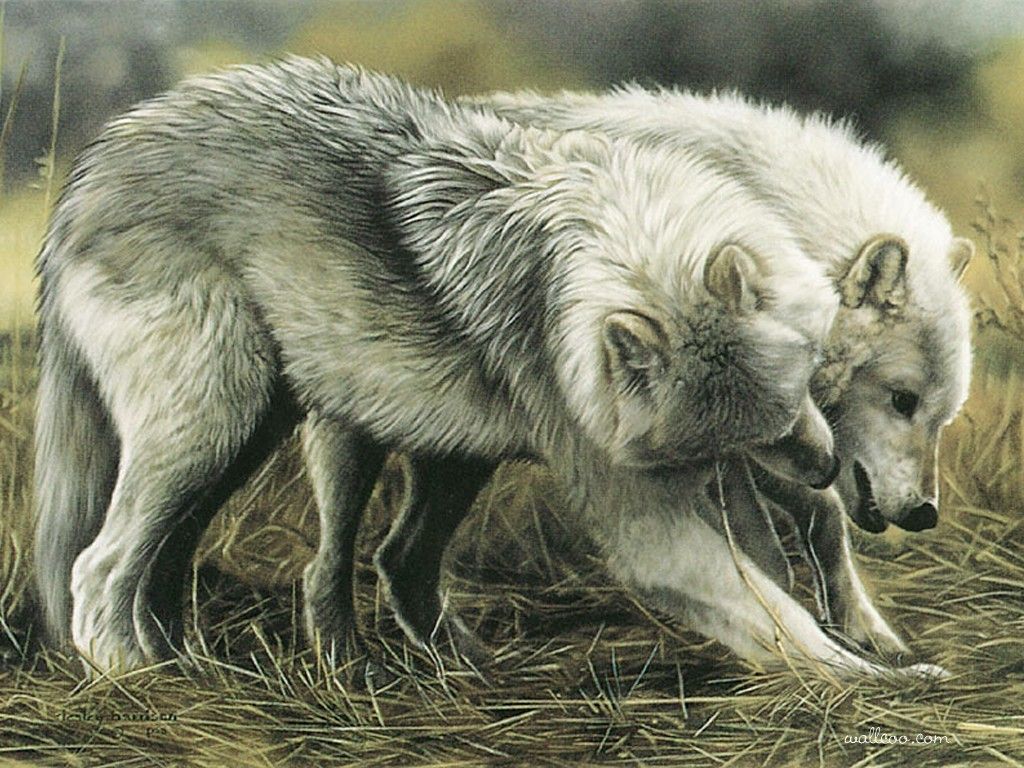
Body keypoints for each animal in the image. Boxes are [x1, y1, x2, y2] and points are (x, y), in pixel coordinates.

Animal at [32, 58, 840, 674]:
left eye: (797, 393)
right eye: (762, 431)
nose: (828, 470)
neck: (610, 247)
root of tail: (94, 168)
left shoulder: (710, 474)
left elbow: (773, 580)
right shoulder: (646, 516)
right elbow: (771, 612)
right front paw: (854, 680)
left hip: (283, 442)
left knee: (348, 559)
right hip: (213, 428)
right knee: (98, 565)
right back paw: (134, 675)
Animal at [480, 85, 974, 656]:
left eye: (943, 417)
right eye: (902, 400)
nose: (925, 516)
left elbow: (819, 517)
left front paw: (865, 630)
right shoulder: (735, 436)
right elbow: (807, 519)